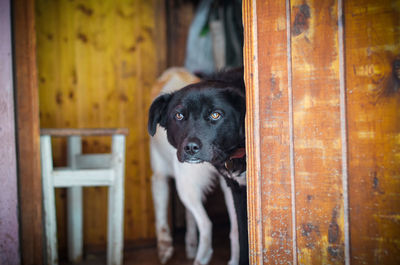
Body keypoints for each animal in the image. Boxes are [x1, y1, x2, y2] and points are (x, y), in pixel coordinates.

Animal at [148, 67, 248, 262]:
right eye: (179, 115)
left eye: (215, 115)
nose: (191, 148)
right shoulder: (236, 188)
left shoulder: (159, 176)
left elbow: (161, 216)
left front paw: (165, 248)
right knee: (233, 231)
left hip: (185, 185)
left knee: (207, 225)